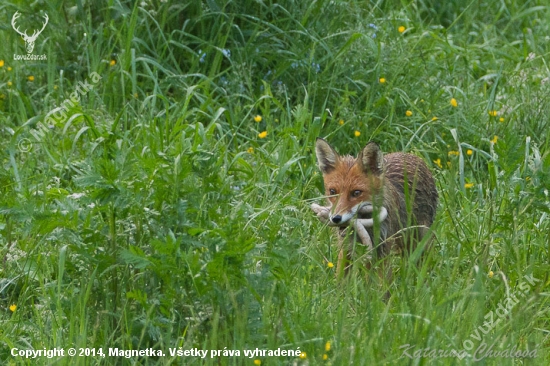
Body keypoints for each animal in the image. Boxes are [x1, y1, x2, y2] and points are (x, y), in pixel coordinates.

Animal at [314, 139, 440, 276]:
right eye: (332, 191)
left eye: (356, 193)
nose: (336, 218)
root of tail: (411, 155)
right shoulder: (346, 247)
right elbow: (341, 278)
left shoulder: (383, 248)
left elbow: (382, 281)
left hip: (419, 241)